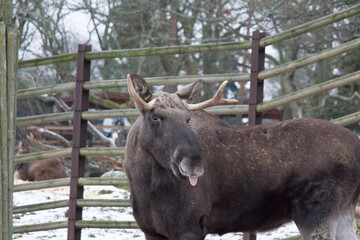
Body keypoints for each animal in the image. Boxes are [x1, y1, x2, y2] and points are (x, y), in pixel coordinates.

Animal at [124, 73, 360, 240]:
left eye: (188, 118)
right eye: (155, 117)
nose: (193, 163)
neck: (144, 184)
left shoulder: (189, 228)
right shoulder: (152, 231)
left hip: (315, 210)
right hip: (344, 209)